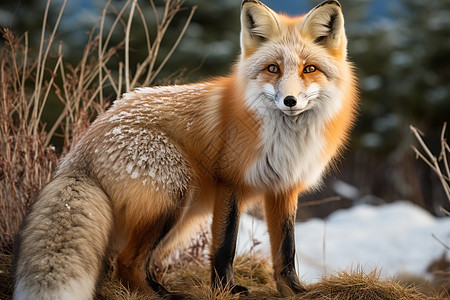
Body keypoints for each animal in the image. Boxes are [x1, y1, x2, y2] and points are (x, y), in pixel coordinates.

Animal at [13, 0, 358, 298]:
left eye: (309, 69)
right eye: (273, 69)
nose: (289, 101)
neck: (284, 139)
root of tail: (82, 146)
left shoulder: (284, 188)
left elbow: (286, 249)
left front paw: (294, 291)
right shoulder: (230, 181)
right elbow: (225, 247)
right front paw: (225, 291)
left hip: (182, 218)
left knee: (128, 262)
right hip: (173, 198)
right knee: (126, 262)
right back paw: (162, 295)